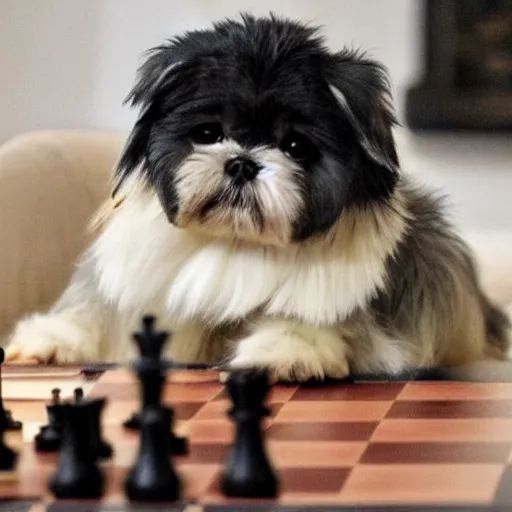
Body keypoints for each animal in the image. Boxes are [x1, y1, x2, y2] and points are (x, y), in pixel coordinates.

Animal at [5, 13, 512, 380]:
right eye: (208, 133)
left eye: (295, 146)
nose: (243, 162)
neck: (237, 240)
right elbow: (94, 311)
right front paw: (47, 340)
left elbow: (311, 320)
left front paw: (283, 353)